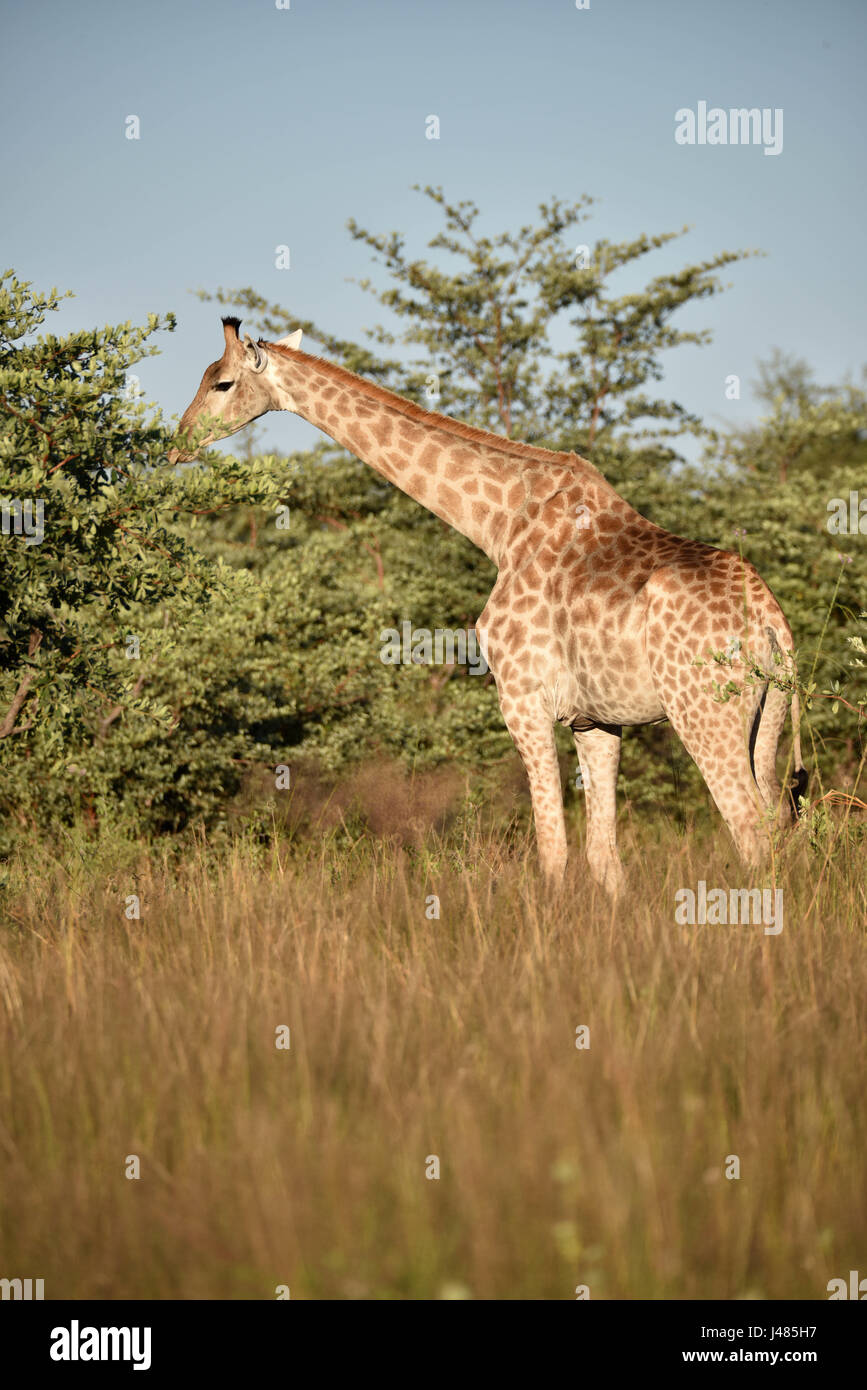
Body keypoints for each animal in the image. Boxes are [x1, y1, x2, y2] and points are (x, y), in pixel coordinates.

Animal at [169, 318, 805, 895]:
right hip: (766, 715)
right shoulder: (596, 719)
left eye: (222, 382)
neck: (500, 526)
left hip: (703, 712)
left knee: (749, 828)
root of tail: (773, 625)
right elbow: (604, 856)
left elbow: (553, 850)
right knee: (778, 821)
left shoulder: (522, 698)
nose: (178, 443)